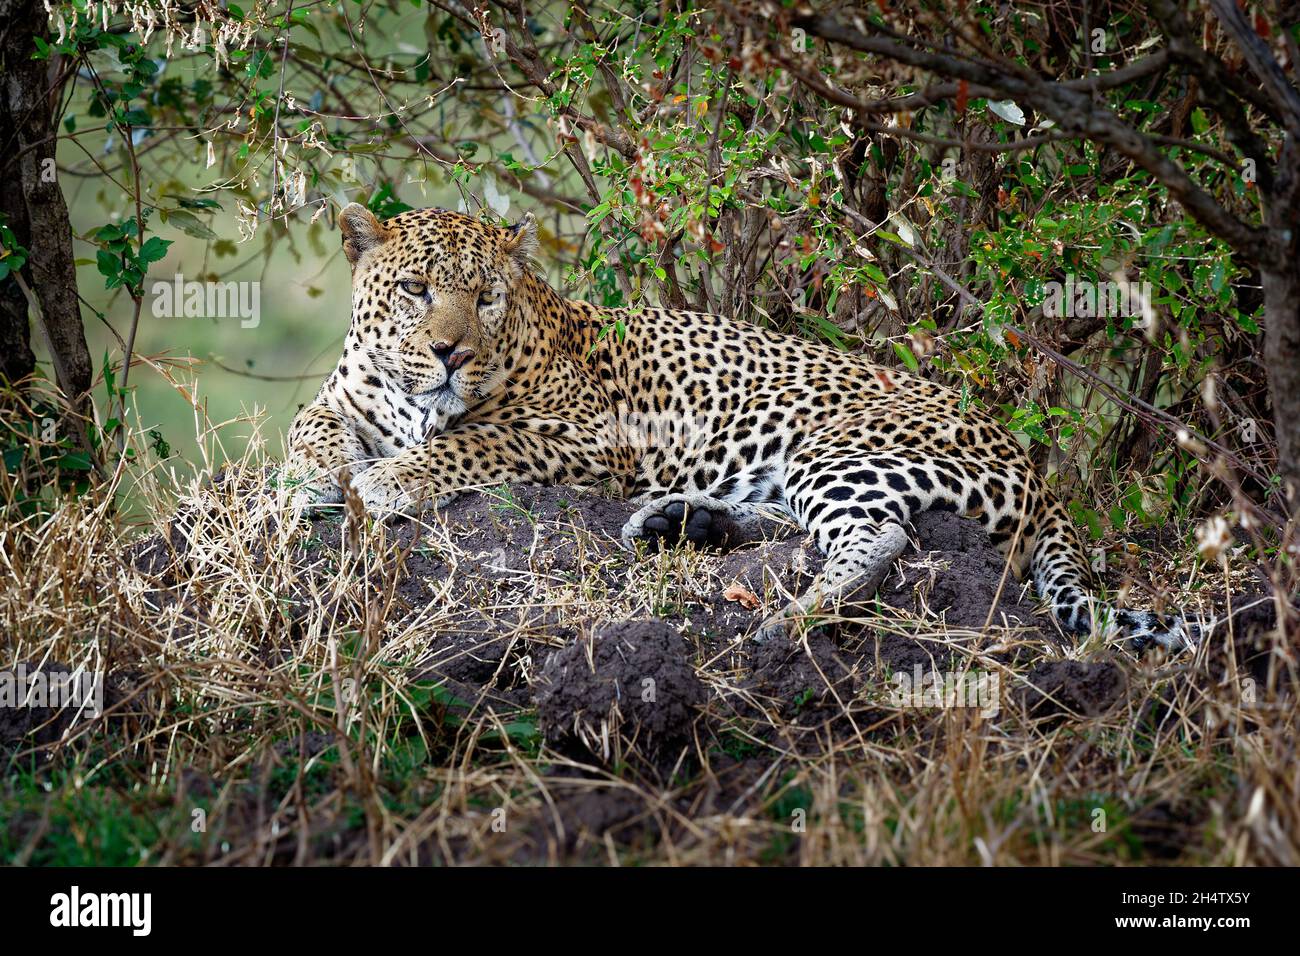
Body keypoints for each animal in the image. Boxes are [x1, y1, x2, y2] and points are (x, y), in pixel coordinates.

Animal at [289, 201, 1201, 650]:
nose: (451, 352)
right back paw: (679, 521)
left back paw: (782, 622)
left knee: (880, 538)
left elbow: (468, 441)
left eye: (484, 297)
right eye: (414, 290)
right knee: (803, 525)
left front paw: (387, 481)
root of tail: (1037, 469)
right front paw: (308, 486)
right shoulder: (344, 398)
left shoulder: (583, 438)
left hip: (842, 444)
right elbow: (309, 427)